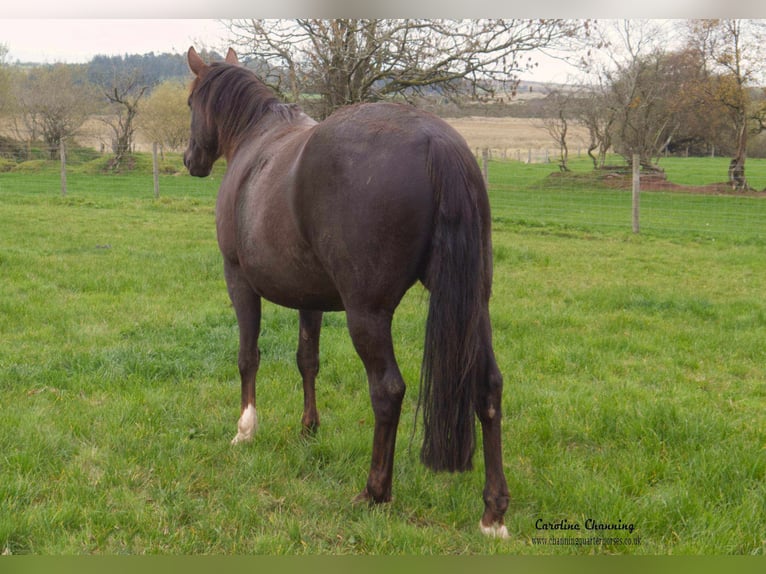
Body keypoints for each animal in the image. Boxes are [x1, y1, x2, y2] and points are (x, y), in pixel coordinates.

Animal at [183, 47, 510, 538]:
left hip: (367, 314)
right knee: (487, 387)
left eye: (189, 104)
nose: (190, 159)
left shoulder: (238, 279)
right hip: (474, 306)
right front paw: (308, 429)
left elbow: (247, 356)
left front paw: (245, 429)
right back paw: (493, 513)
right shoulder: (310, 299)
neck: (255, 143)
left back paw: (375, 491)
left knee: (388, 391)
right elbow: (307, 359)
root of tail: (437, 142)